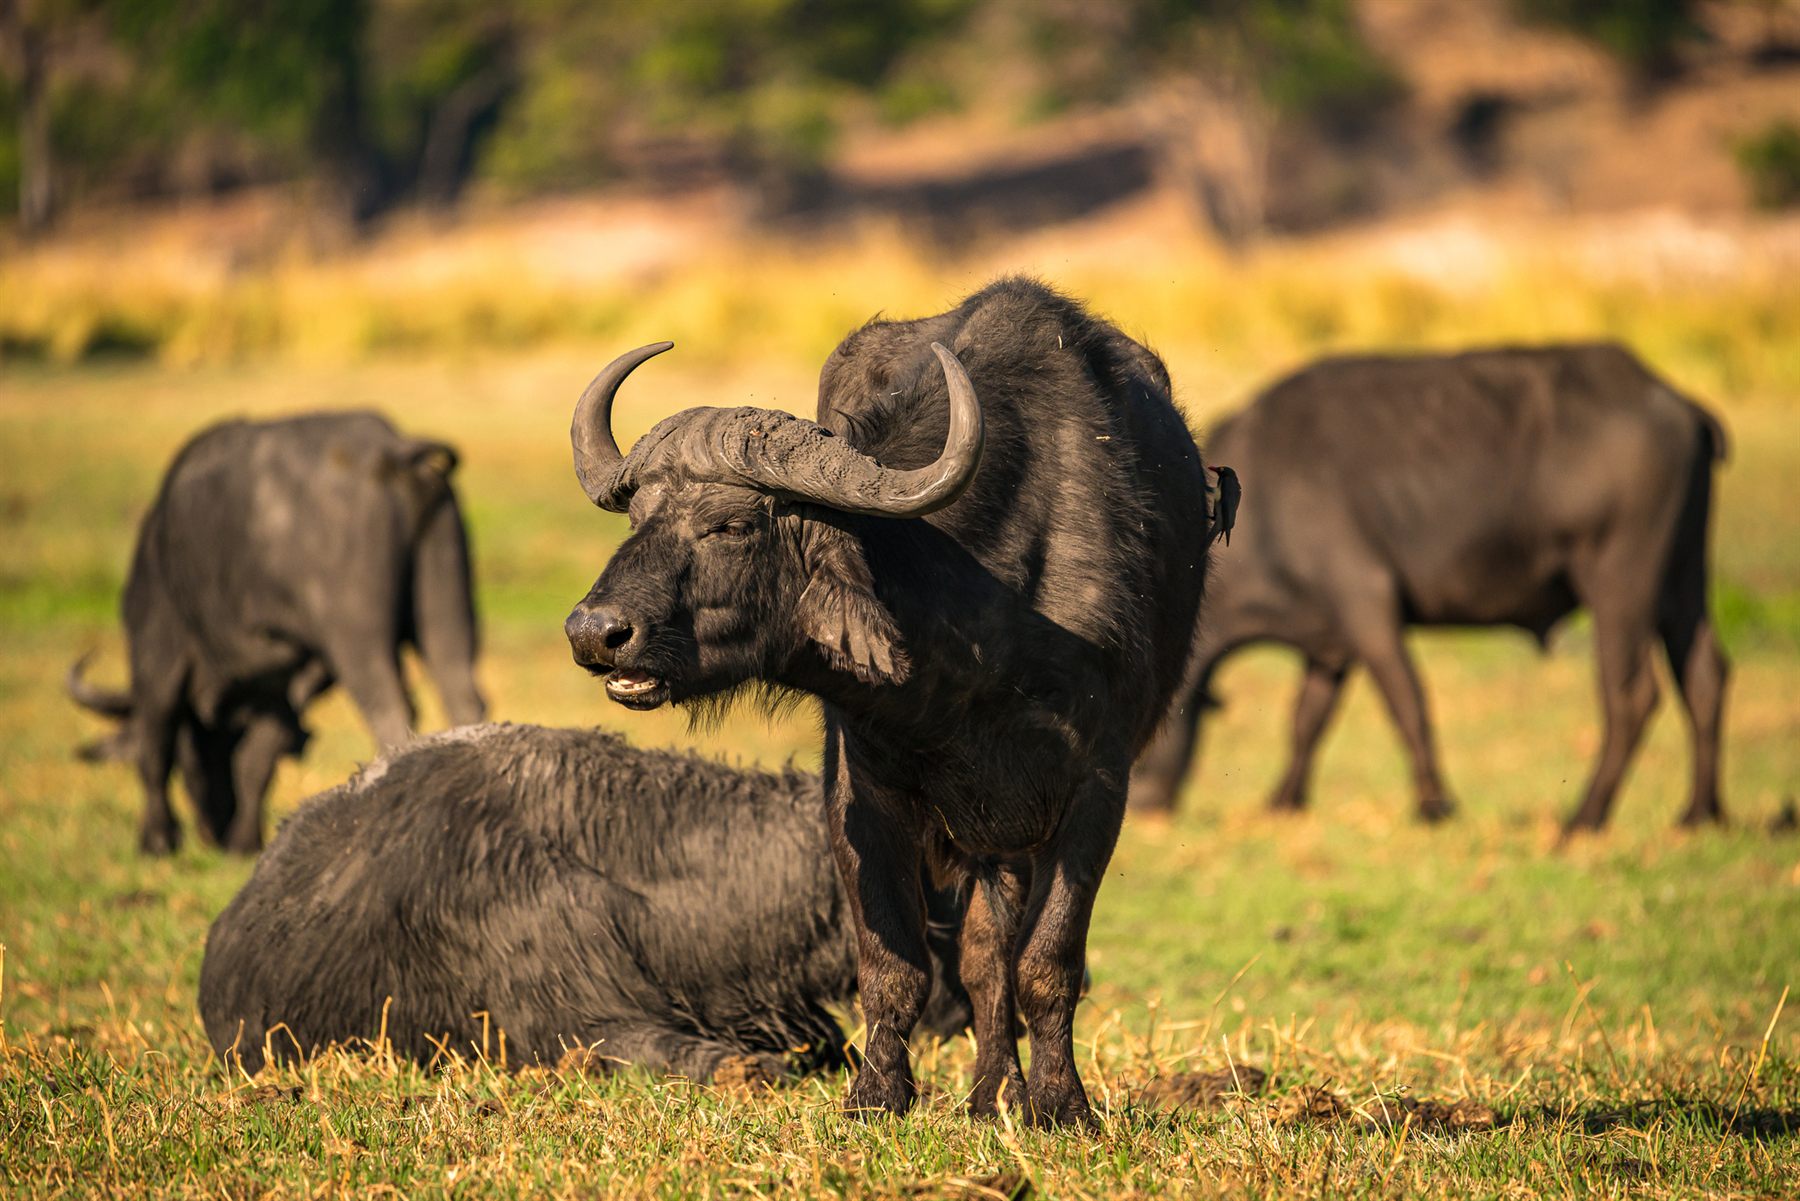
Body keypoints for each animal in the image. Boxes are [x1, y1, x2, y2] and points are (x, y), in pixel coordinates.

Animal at [68, 412, 486, 855]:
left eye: (192, 760)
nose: (212, 831)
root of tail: (390, 451)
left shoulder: (156, 651)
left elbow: (156, 743)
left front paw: (158, 838)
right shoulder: (282, 686)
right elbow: (257, 758)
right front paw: (245, 839)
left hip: (357, 639)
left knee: (390, 711)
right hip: (445, 602)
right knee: (463, 698)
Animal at [563, 278, 1223, 1125]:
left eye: (732, 524)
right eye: (641, 517)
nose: (597, 631)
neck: (985, 614)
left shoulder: (1097, 787)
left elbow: (1048, 962)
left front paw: (1062, 1104)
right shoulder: (862, 782)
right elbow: (894, 963)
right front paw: (877, 1094)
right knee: (980, 958)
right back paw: (990, 1091)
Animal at [1130, 344, 1728, 834]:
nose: (1140, 800)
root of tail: (1672, 399)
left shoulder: (1368, 607)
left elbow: (1406, 702)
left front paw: (1434, 805)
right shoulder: (1329, 640)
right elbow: (1307, 718)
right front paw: (1284, 800)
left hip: (1619, 579)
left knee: (1630, 693)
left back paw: (1585, 816)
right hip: (1683, 581)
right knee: (1704, 677)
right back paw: (1700, 813)